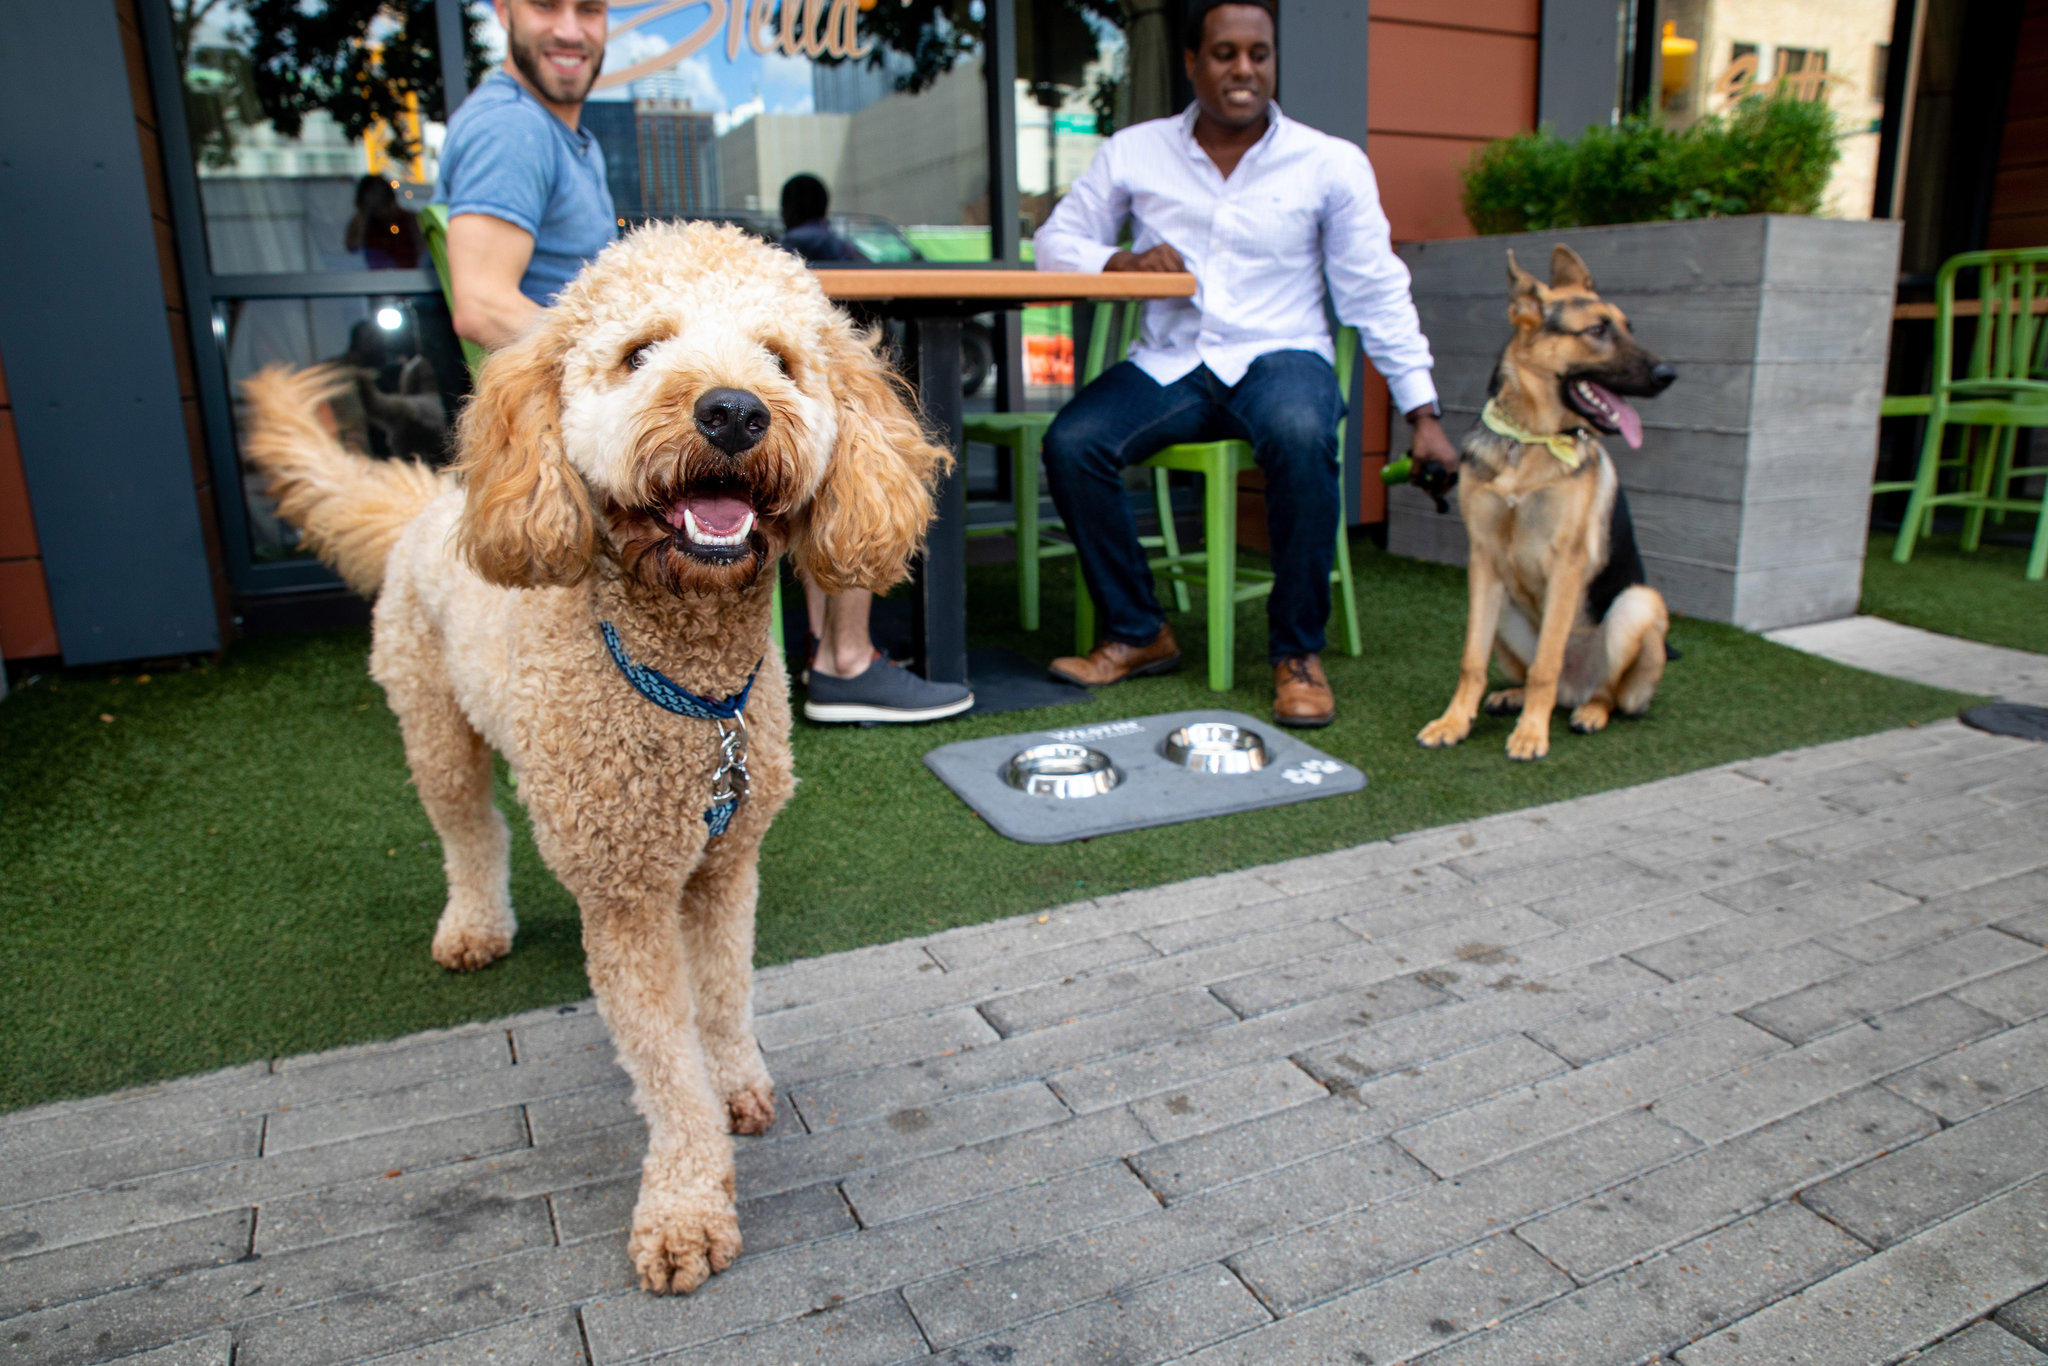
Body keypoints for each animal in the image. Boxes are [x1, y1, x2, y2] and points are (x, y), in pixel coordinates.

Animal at [241, 224, 950, 1294]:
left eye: (782, 360)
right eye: (639, 352)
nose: (733, 411)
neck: (691, 691)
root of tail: (434, 500)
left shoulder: (725, 865)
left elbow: (724, 996)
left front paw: (738, 1081)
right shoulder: (627, 896)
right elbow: (665, 1063)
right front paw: (687, 1207)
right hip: (432, 725)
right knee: (469, 832)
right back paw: (474, 924)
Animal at [1417, 242, 1671, 757]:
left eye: (1628, 327)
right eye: (1597, 330)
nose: (1668, 373)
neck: (1529, 441)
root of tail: (1574, 689)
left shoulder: (1567, 564)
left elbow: (1545, 666)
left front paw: (1531, 734)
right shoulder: (1483, 561)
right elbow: (1471, 660)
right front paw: (1454, 721)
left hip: (1638, 605)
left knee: (1604, 691)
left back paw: (1586, 712)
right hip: (1504, 612)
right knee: (1532, 673)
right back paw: (1512, 697)